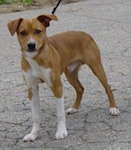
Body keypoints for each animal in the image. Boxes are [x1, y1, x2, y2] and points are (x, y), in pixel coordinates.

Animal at [7, 14, 119, 142]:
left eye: (38, 31)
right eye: (22, 32)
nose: (31, 45)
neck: (37, 58)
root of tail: (84, 33)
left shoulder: (57, 86)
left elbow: (60, 114)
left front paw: (61, 132)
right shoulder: (32, 89)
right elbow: (35, 116)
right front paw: (33, 134)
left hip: (96, 67)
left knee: (107, 87)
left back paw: (113, 108)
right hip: (70, 74)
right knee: (80, 89)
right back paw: (74, 108)